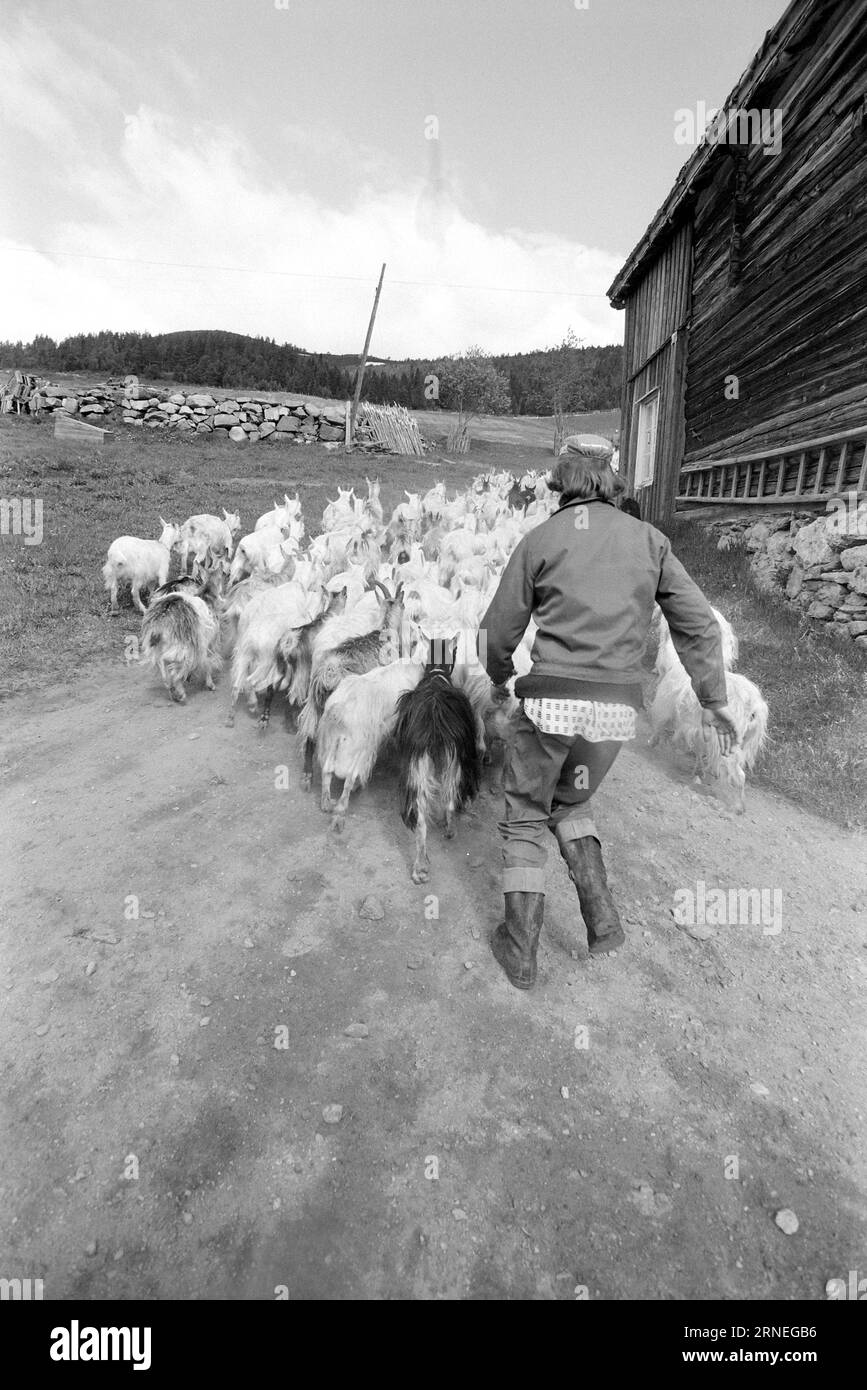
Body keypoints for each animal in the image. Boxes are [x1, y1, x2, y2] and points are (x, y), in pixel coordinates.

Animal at [391, 636, 480, 884]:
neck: (436, 673)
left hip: (417, 768)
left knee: (421, 818)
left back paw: (420, 868)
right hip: (452, 763)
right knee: (448, 800)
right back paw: (448, 832)